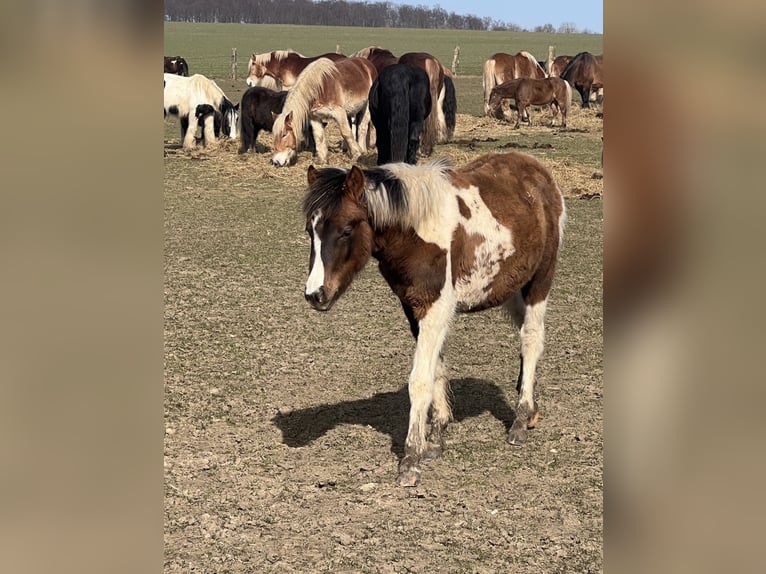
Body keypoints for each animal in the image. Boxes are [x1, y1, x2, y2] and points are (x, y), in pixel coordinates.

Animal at [301, 151, 566, 487]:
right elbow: (437, 368)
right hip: (509, 287)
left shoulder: (436, 308)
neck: (416, 233)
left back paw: (519, 420)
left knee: (531, 340)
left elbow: (420, 380)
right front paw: (437, 437)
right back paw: (530, 410)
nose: (315, 294)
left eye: (347, 229)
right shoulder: (413, 309)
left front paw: (411, 459)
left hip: (539, 282)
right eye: (310, 230)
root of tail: (539, 172)